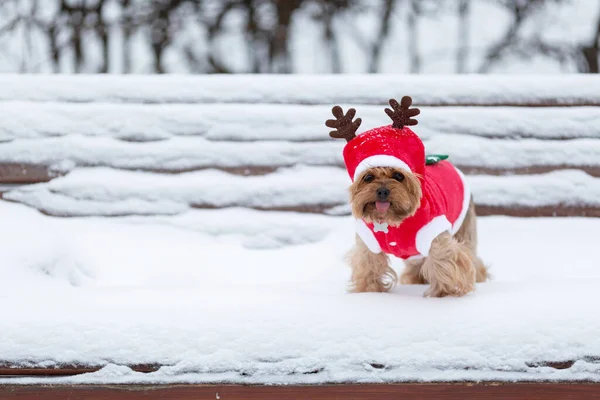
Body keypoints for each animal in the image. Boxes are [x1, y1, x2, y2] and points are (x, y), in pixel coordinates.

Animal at [328, 97, 488, 296]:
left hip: (464, 227)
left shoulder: (435, 236)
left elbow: (444, 262)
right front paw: (369, 292)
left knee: (471, 255)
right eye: (368, 177)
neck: (390, 221)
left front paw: (443, 294)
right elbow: (368, 265)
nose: (382, 191)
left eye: (398, 176)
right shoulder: (367, 243)